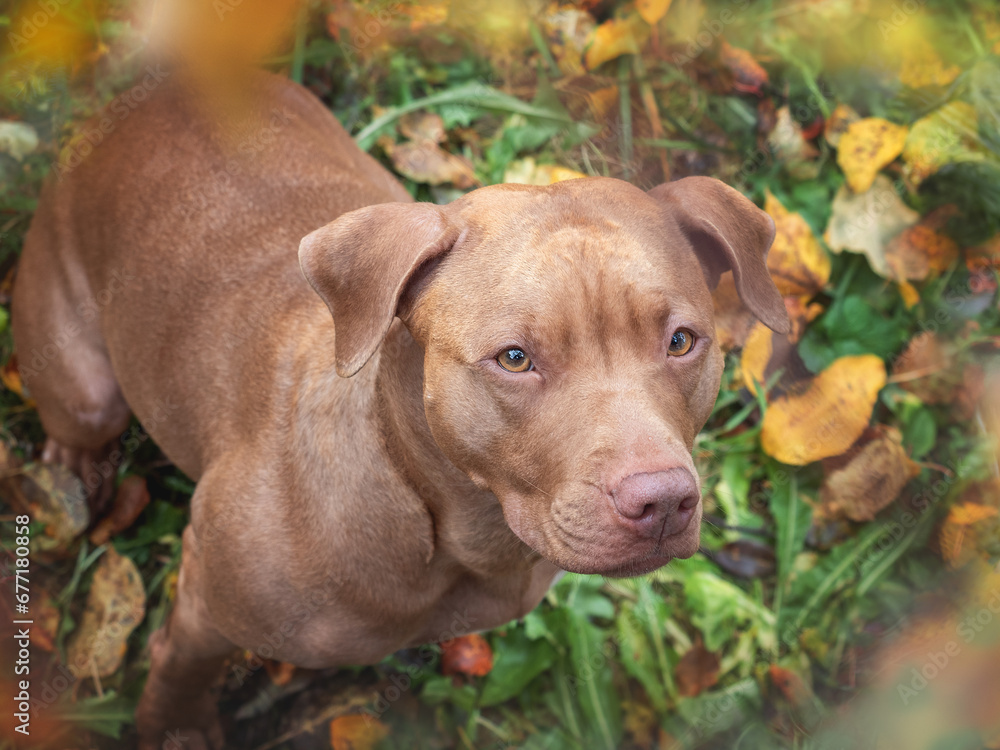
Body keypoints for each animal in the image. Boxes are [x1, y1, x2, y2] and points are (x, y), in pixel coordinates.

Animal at [9, 67, 788, 748]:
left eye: (681, 341)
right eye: (515, 358)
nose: (662, 502)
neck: (452, 527)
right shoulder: (206, 599)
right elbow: (178, 671)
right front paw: (175, 727)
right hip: (86, 385)